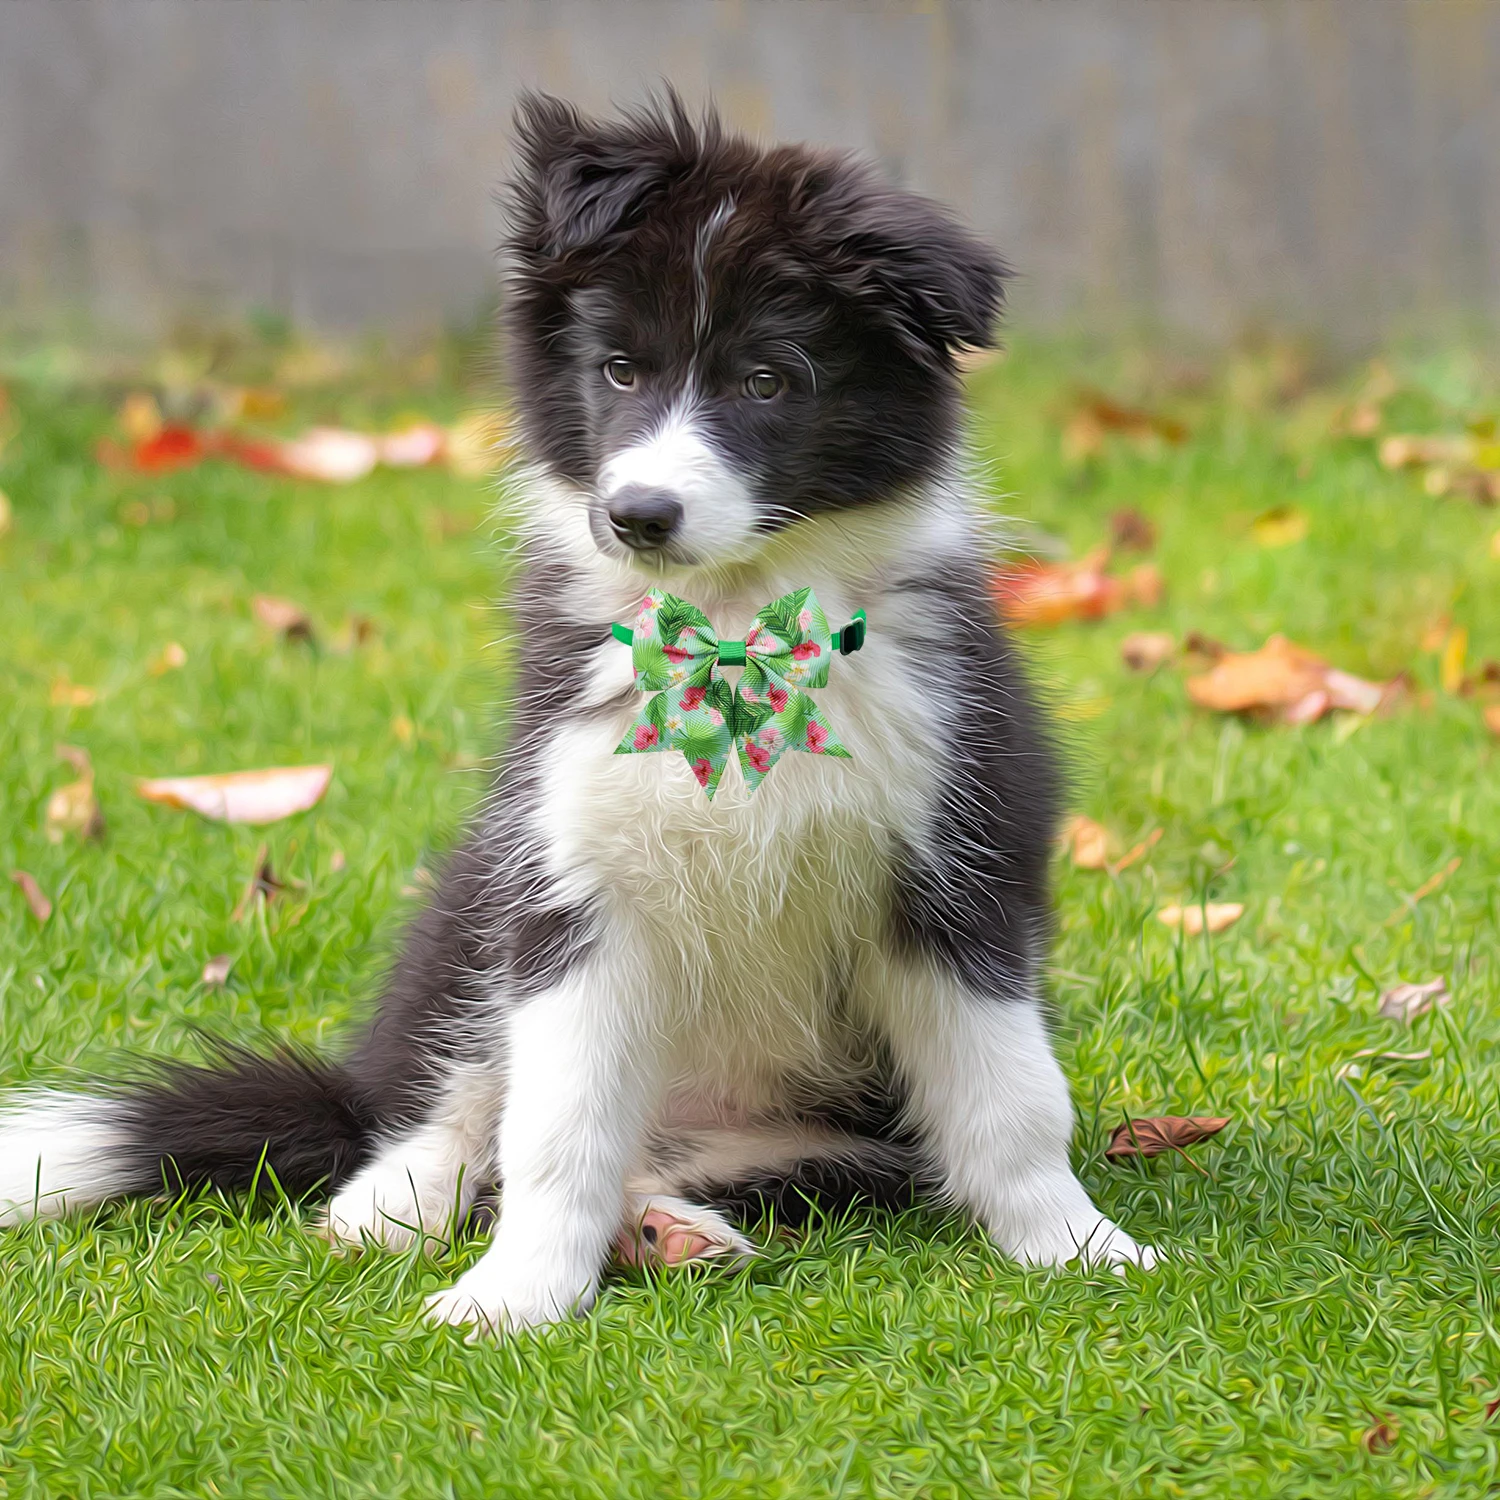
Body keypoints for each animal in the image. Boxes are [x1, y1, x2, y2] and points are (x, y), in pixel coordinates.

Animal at [0, 96, 1158, 1338]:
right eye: (618, 370)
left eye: (768, 382)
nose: (638, 515)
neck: (730, 631)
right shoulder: (572, 882)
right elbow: (555, 1127)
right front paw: (512, 1296)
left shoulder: (957, 856)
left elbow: (1011, 1096)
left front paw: (1078, 1245)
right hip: (473, 902)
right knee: (457, 1103)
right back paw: (395, 1197)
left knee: (690, 1157)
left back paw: (667, 1228)